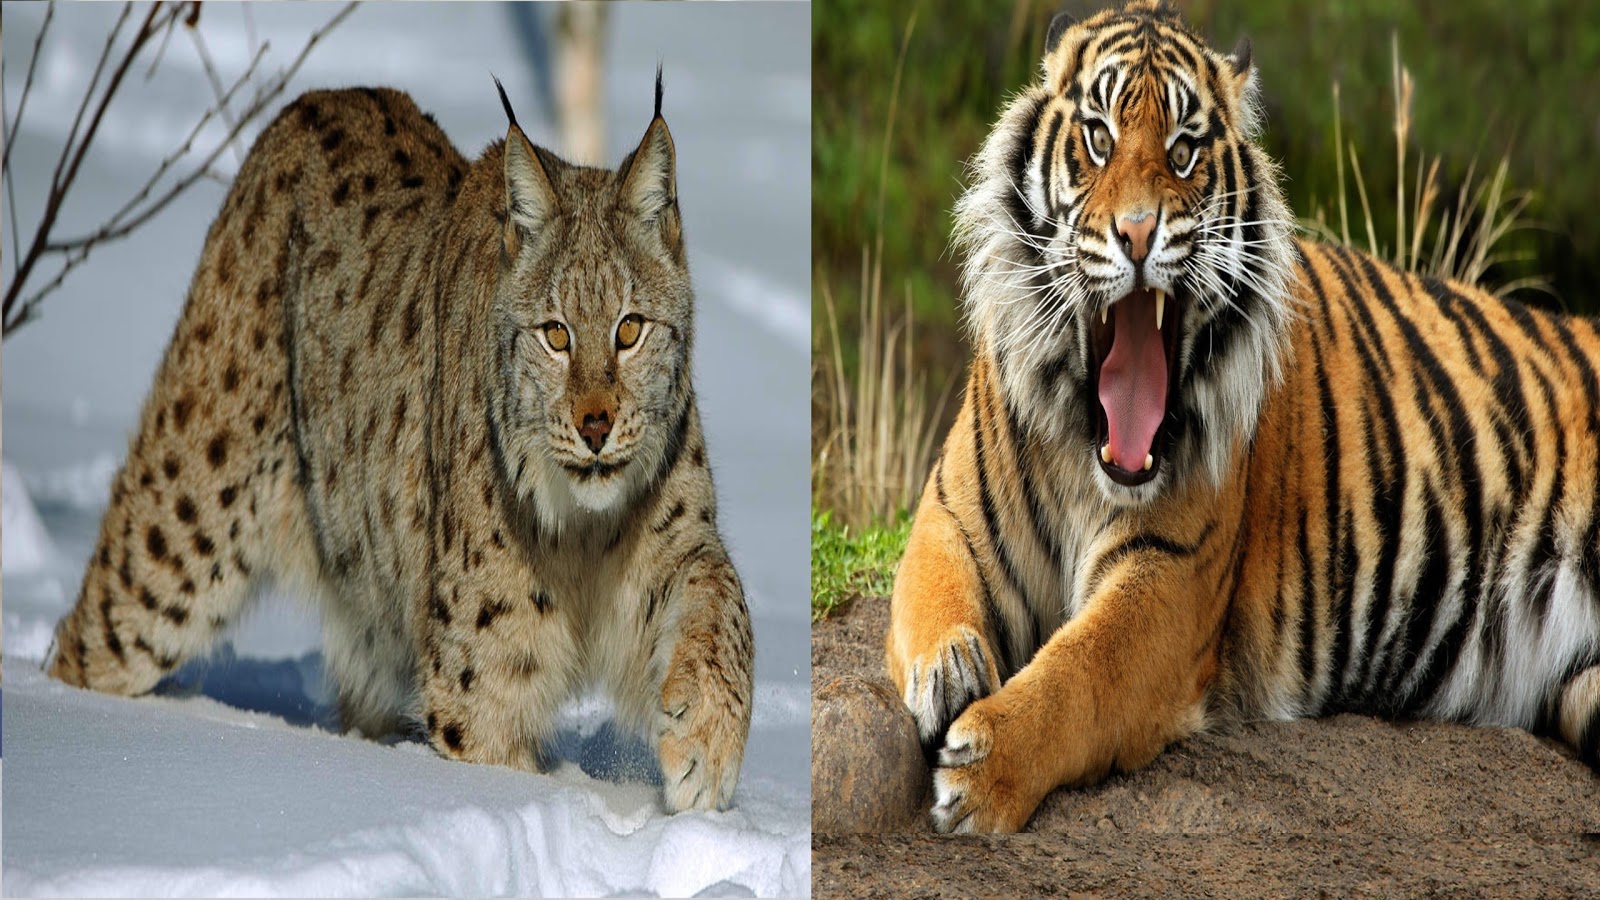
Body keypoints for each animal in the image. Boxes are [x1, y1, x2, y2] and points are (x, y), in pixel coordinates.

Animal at [886, 0, 1600, 833]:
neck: (1083, 446)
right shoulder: (949, 515)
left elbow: (1076, 674)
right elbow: (930, 596)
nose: (1138, 233)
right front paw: (950, 673)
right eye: (1098, 138)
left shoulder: (1169, 577)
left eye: (1183, 151)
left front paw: (982, 769)